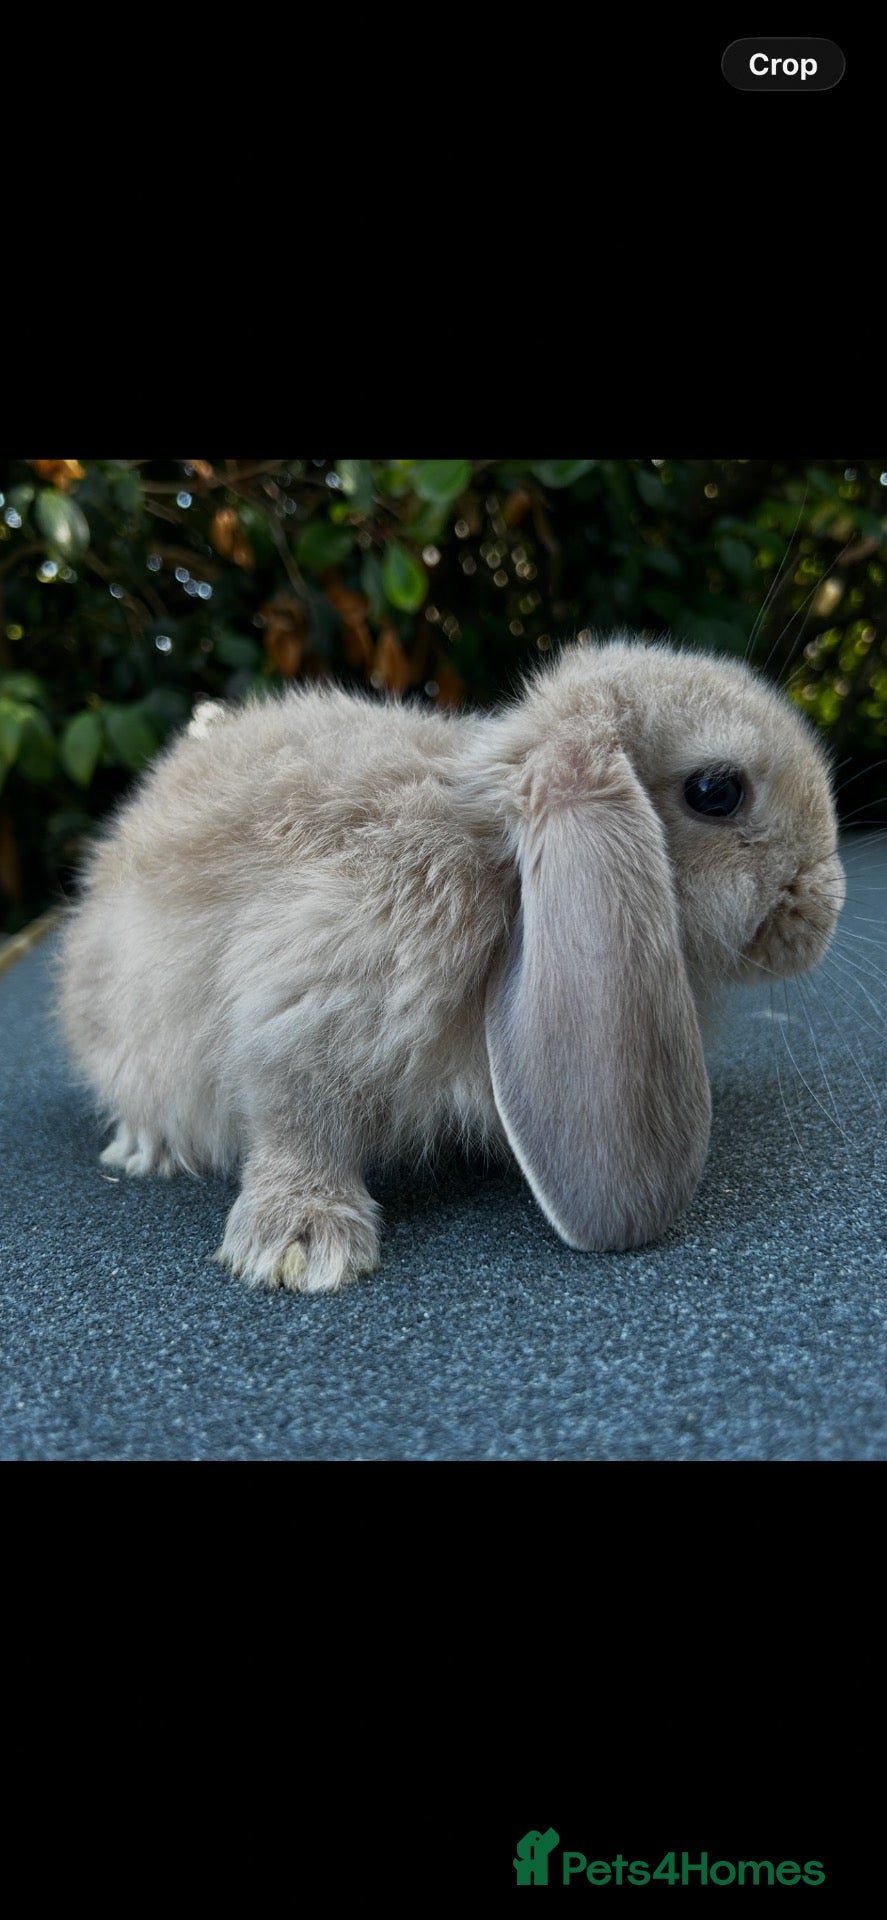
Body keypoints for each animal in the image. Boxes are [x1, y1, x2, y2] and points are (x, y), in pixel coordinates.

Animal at [56, 634, 846, 1293]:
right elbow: (298, 1123)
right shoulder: (301, 1008)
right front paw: (301, 1245)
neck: (494, 857)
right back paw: (147, 1147)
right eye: (717, 791)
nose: (825, 911)